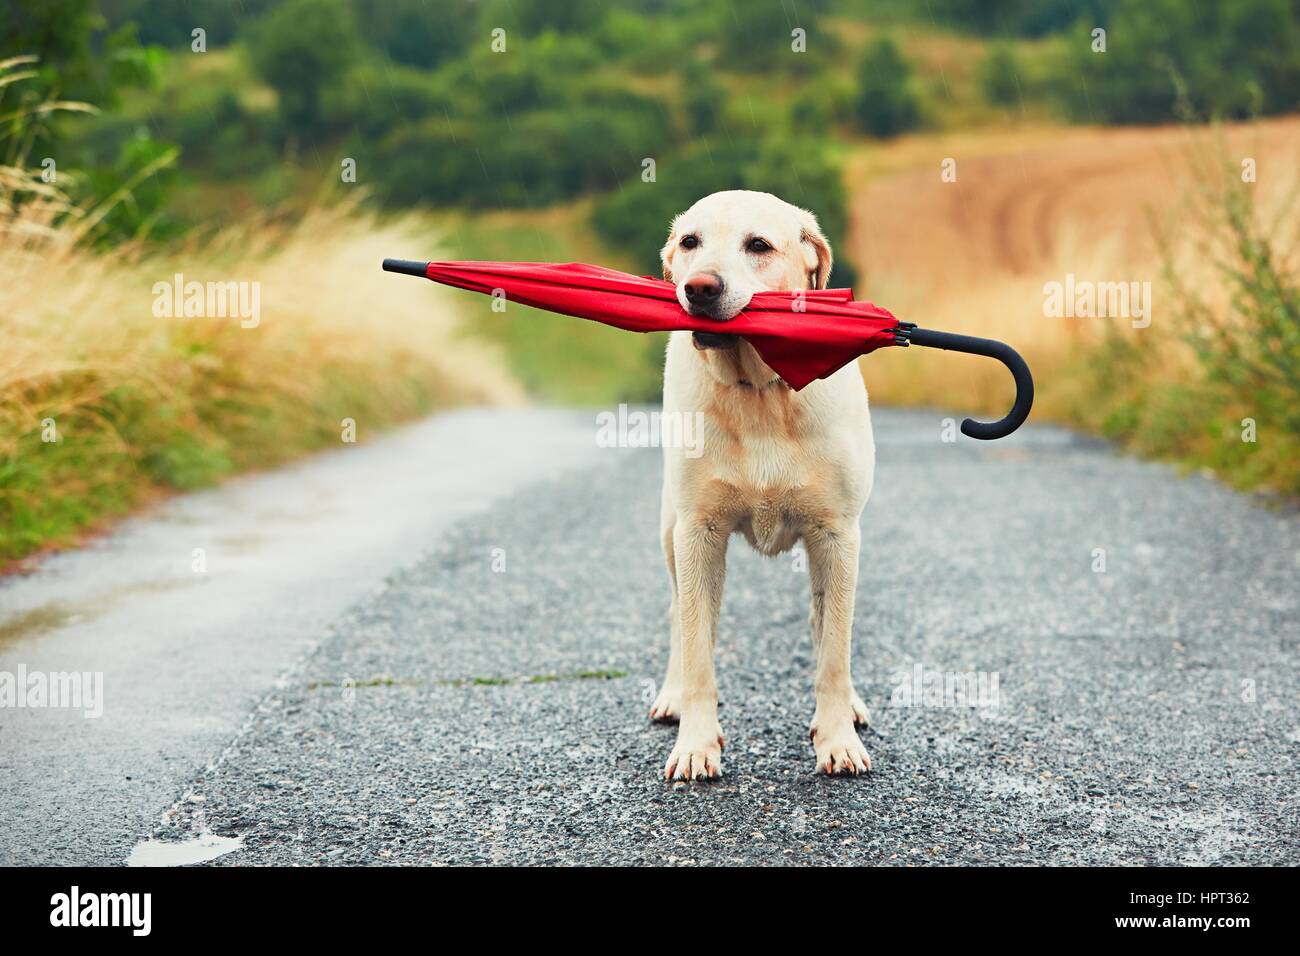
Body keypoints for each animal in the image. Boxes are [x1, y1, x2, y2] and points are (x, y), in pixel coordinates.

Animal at [650, 191, 873, 780]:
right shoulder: (698, 534)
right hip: (669, 532)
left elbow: (834, 651)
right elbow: (699, 651)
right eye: (690, 241)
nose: (700, 288)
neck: (762, 391)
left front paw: (837, 739)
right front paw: (695, 744)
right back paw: (672, 695)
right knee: (680, 616)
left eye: (758, 245)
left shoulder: (837, 536)